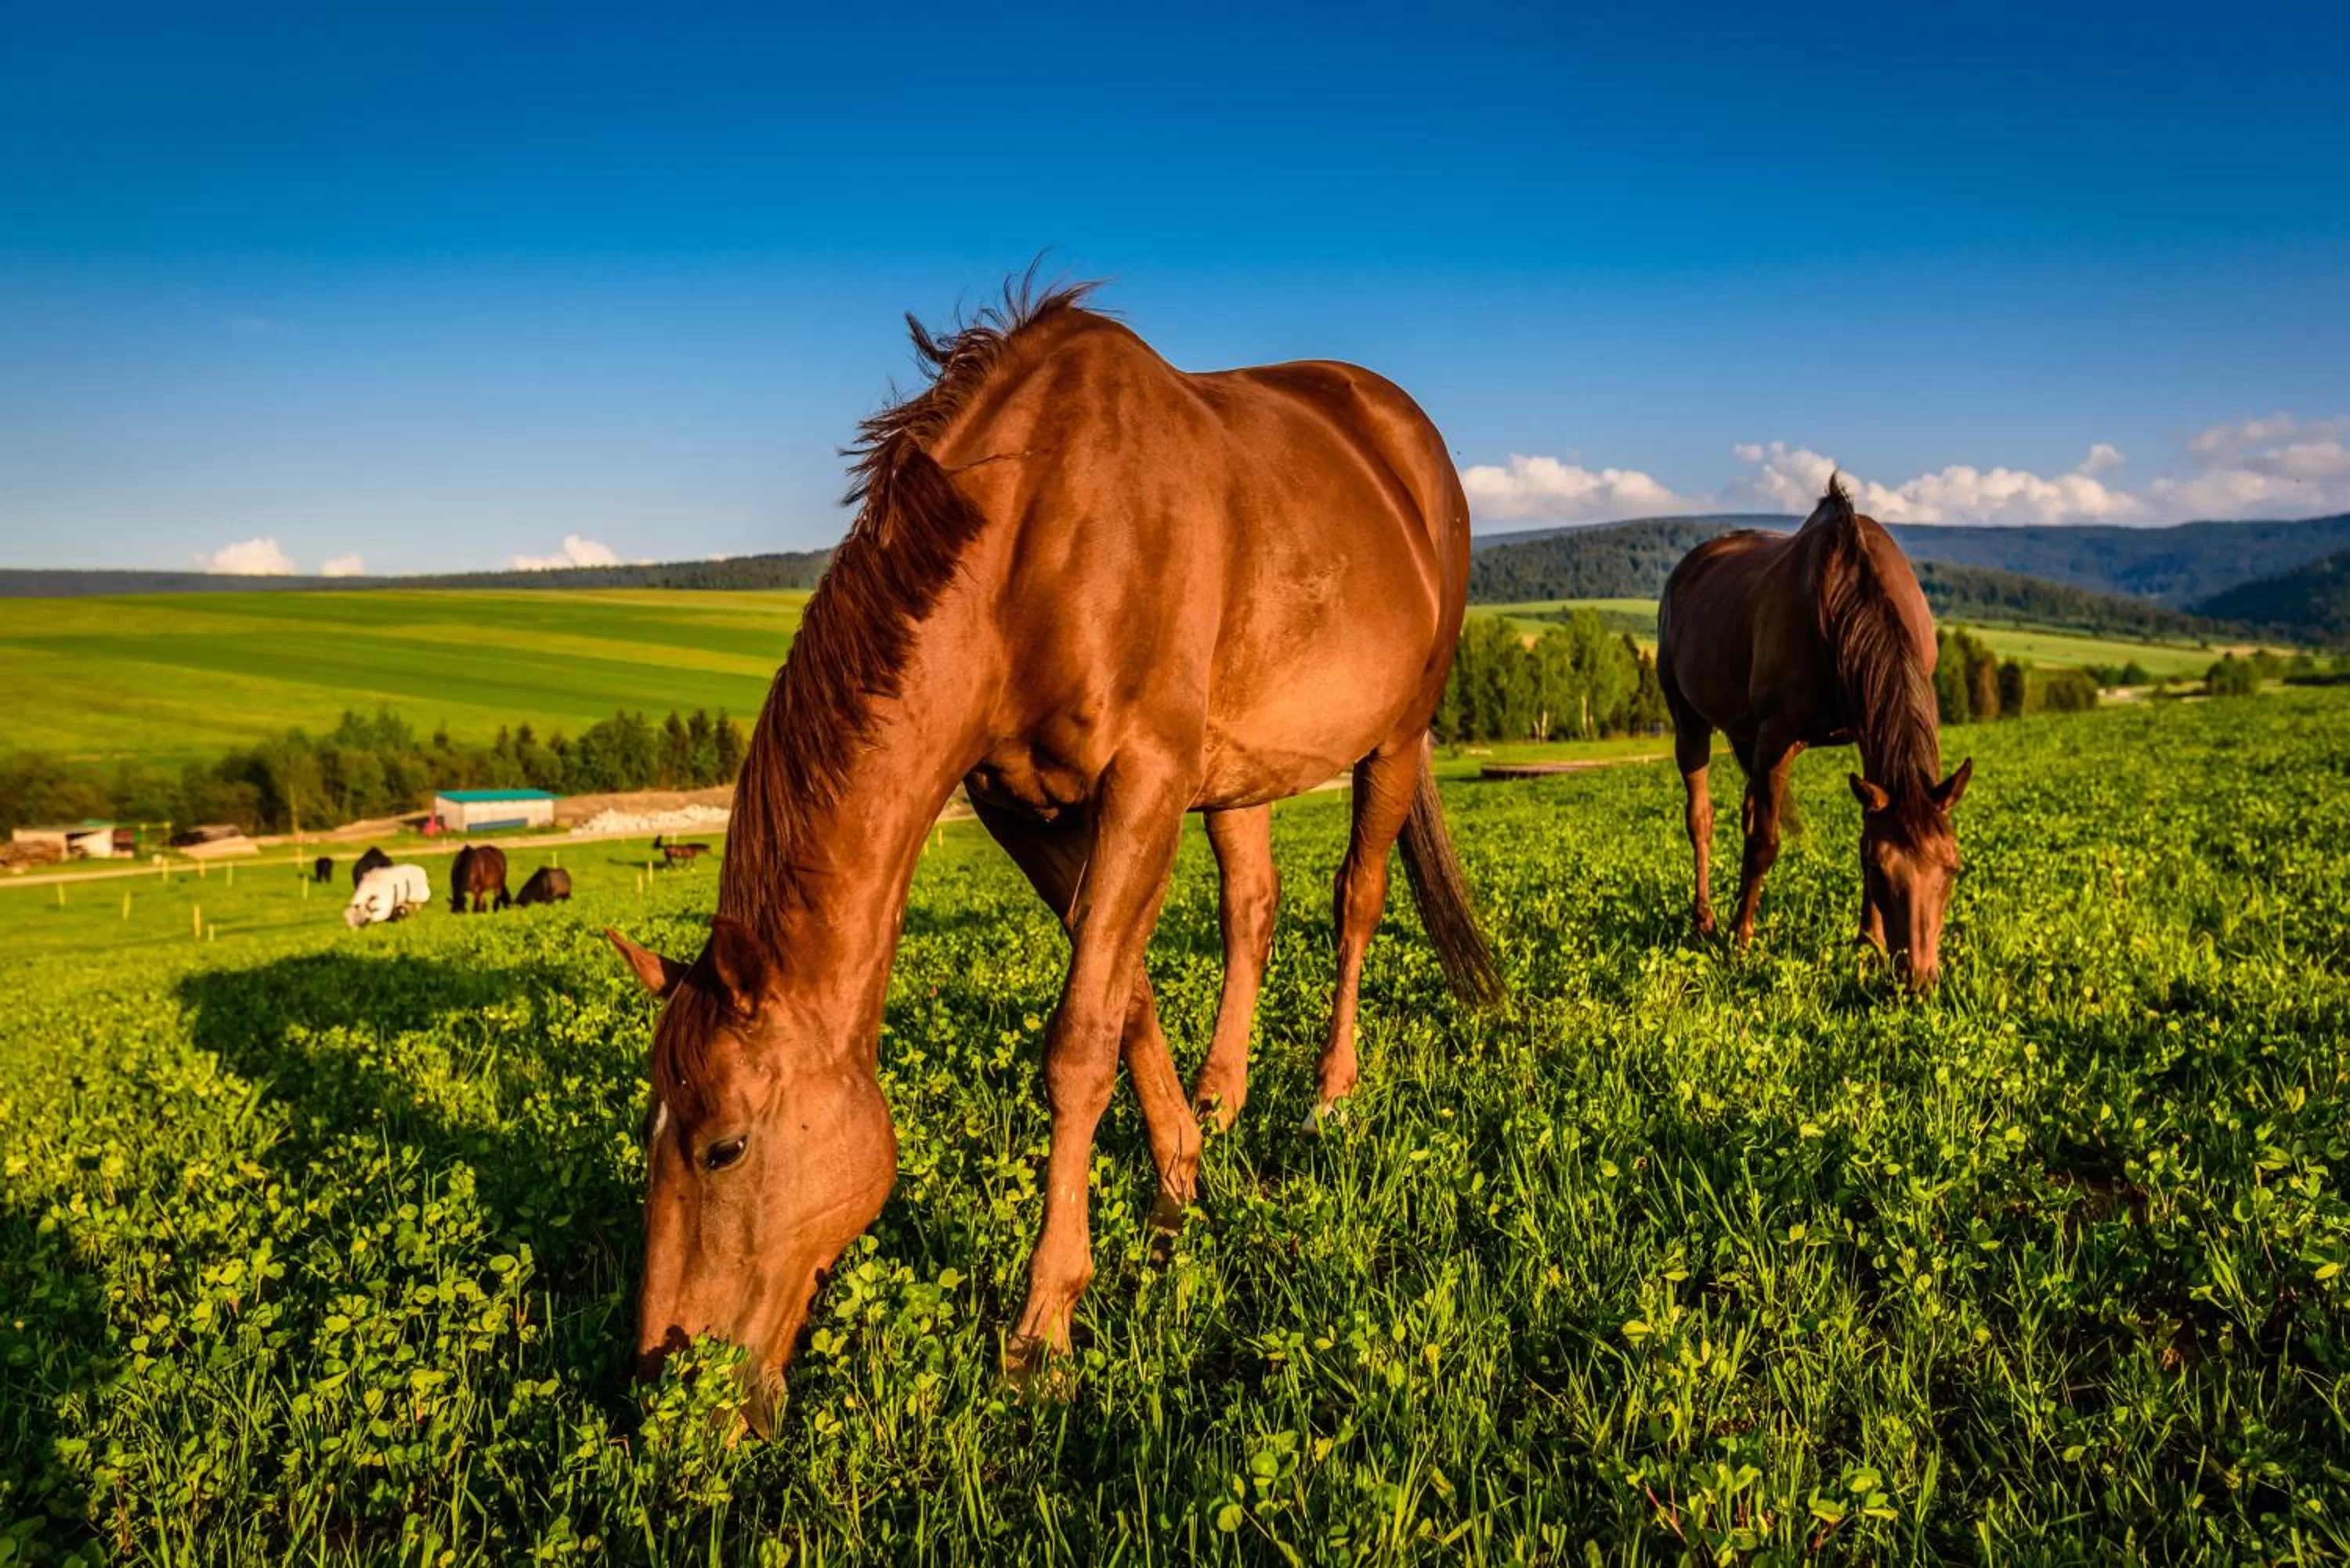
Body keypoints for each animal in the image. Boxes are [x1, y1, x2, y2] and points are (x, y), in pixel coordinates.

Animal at [603, 279, 1495, 1417]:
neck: (1039, 530)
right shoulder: (1022, 805)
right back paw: (1226, 1092)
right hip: (1237, 773)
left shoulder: (1145, 779)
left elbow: (1078, 1043)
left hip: (1394, 736)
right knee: (1252, 906)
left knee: (1357, 899)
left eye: (724, 1147)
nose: (660, 1380)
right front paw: (1180, 1177)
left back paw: (1330, 1096)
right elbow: (1126, 996)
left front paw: (1044, 1323)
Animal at [1657, 476, 1972, 988]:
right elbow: (1764, 845)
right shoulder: (1777, 737)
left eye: (1953, 867)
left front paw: (1868, 944)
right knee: (1701, 816)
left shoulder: (1864, 734)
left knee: (1746, 809)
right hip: (1690, 719)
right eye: (1882, 870)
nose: (1919, 979)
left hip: (1744, 736)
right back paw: (1705, 919)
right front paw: (1740, 943)